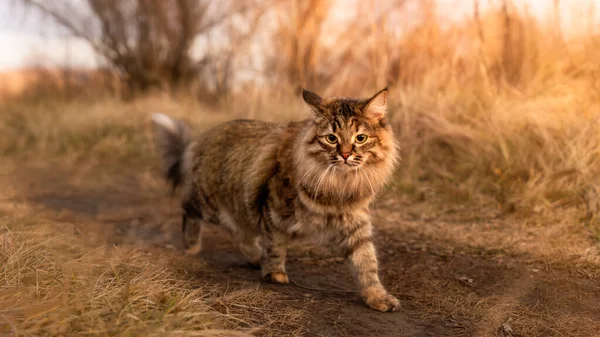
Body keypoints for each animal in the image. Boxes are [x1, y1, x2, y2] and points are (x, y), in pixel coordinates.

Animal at [152, 88, 400, 312]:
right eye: (331, 138)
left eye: (361, 138)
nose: (346, 155)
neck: (339, 183)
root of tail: (200, 139)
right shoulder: (276, 207)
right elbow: (276, 245)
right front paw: (274, 273)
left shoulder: (355, 221)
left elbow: (367, 262)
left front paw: (377, 296)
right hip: (210, 203)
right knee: (189, 210)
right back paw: (192, 247)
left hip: (241, 208)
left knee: (240, 236)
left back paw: (254, 259)